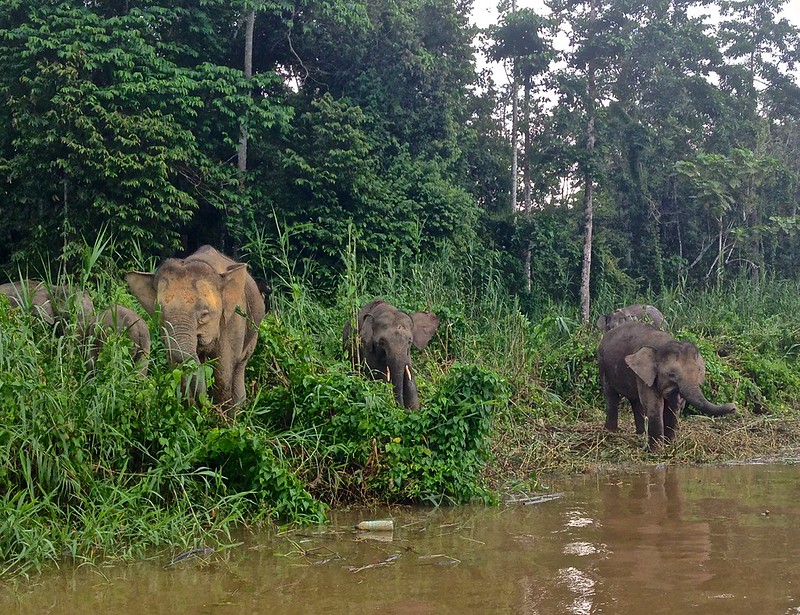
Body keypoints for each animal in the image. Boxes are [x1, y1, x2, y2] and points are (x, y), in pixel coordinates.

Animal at [125, 245, 265, 412]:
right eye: (160, 313)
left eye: (204, 314)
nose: (206, 406)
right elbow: (177, 367)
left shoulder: (232, 322)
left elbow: (223, 374)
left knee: (238, 368)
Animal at [597, 321, 736, 449]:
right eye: (671, 375)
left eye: (698, 372)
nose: (733, 407)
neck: (663, 344)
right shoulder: (645, 374)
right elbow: (654, 405)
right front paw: (657, 452)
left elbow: (672, 407)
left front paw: (670, 446)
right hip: (603, 364)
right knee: (611, 397)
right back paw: (611, 434)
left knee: (636, 402)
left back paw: (640, 437)